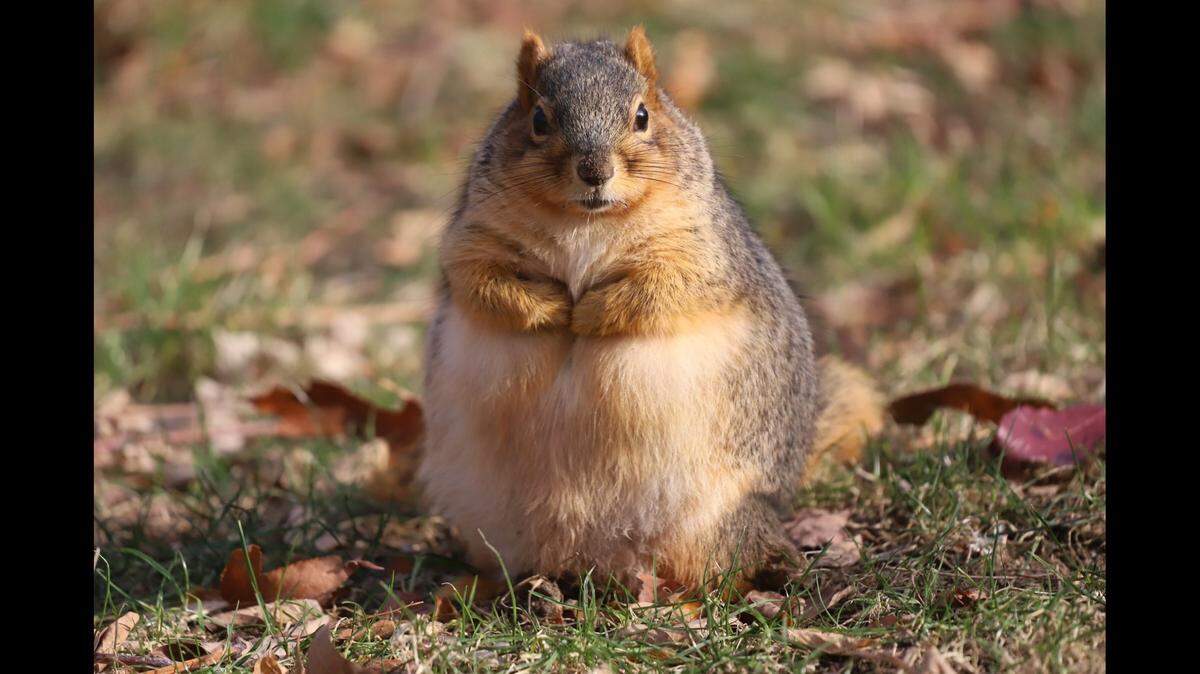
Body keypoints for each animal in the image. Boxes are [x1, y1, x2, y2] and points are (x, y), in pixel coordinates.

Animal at [416, 27, 884, 589]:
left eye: (642, 115)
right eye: (537, 119)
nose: (594, 171)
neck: (585, 220)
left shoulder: (703, 252)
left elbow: (666, 290)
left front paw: (587, 315)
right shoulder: (473, 238)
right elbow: (481, 282)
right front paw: (552, 308)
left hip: (715, 526)